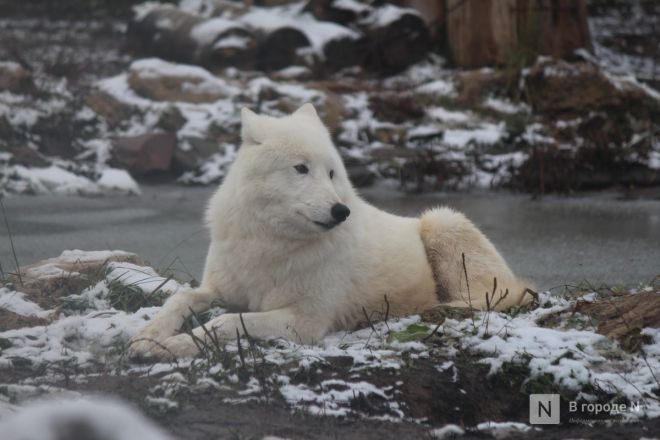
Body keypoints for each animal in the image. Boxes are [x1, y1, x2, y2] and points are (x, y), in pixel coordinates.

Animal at [130, 105, 532, 360]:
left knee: (490, 297)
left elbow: (227, 321)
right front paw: (147, 337)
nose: (341, 211)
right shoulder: (220, 288)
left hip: (441, 221)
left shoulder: (305, 321)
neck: (271, 244)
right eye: (301, 168)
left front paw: (169, 348)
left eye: (332, 173)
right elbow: (181, 298)